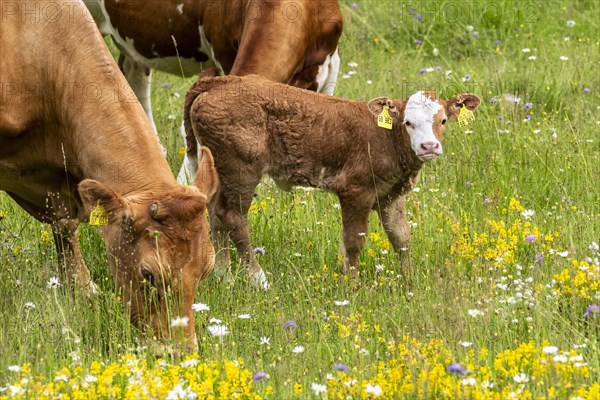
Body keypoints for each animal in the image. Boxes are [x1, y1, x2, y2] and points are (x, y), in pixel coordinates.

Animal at [185, 74, 480, 288]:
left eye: (443, 120)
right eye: (408, 122)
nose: (429, 146)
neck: (384, 137)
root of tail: (222, 81)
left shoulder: (391, 195)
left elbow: (401, 237)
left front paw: (409, 282)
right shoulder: (356, 190)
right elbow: (354, 240)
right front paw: (352, 284)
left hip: (219, 167)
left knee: (215, 214)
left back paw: (223, 275)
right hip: (240, 168)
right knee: (233, 217)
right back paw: (259, 280)